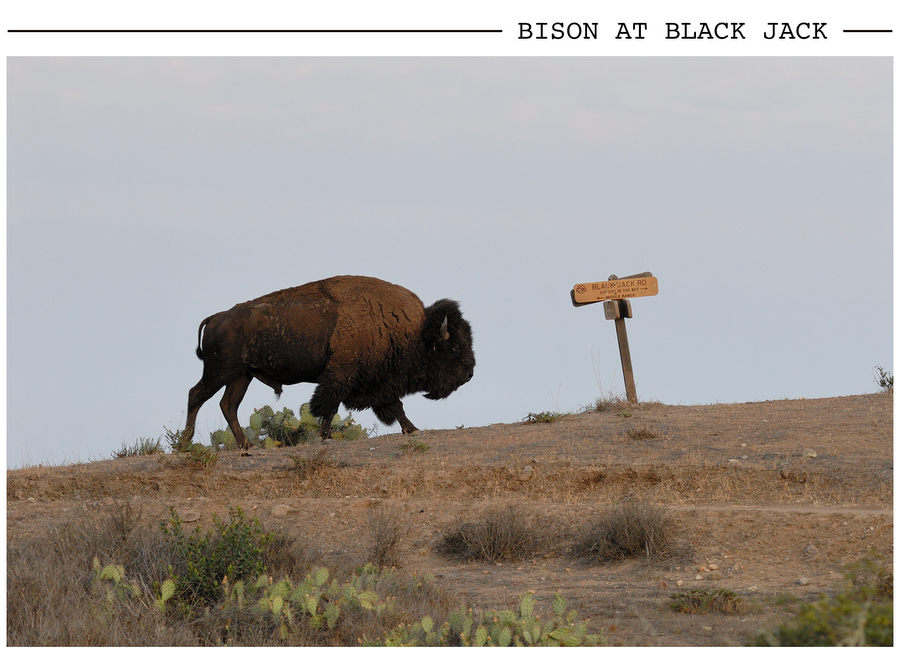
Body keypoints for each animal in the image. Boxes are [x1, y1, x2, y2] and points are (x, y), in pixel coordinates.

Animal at [183, 275, 475, 450]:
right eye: (455, 347)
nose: (469, 373)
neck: (414, 332)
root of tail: (217, 317)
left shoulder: (371, 382)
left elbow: (389, 406)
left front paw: (411, 429)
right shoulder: (342, 376)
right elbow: (331, 406)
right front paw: (327, 436)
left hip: (241, 376)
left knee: (228, 405)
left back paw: (246, 445)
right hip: (220, 372)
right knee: (196, 395)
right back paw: (185, 442)